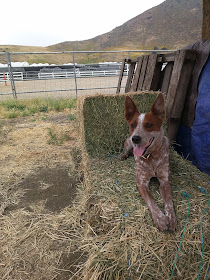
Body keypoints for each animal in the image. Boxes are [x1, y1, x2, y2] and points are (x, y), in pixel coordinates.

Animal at [121, 93, 177, 231]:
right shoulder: (141, 183)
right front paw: (161, 219)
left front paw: (171, 218)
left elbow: (168, 202)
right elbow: (151, 200)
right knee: (127, 149)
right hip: (128, 143)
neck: (151, 157)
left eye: (149, 125)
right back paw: (123, 155)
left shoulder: (164, 181)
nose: (136, 138)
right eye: (133, 125)